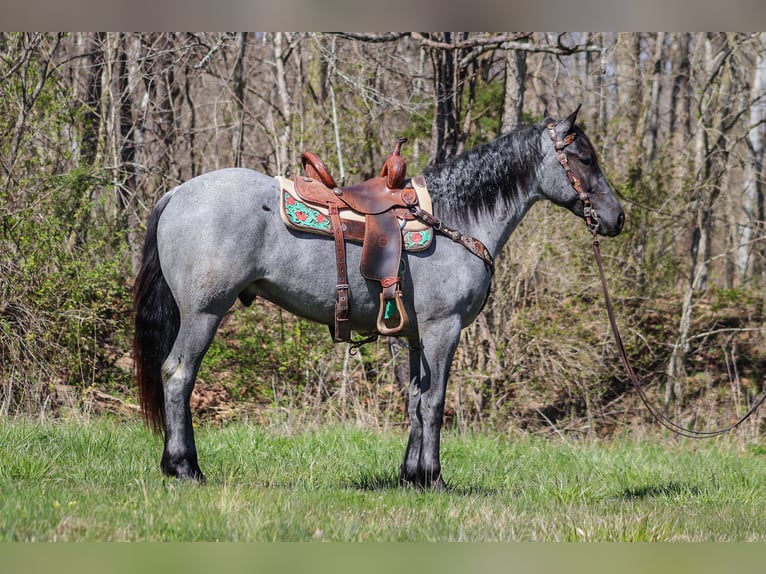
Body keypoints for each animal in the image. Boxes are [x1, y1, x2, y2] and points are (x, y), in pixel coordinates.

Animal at [132, 107, 624, 490]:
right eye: (584, 158)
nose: (617, 217)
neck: (455, 217)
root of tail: (178, 192)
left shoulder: (417, 336)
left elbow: (415, 401)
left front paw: (411, 475)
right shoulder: (442, 330)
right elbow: (435, 403)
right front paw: (434, 478)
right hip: (203, 312)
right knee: (178, 375)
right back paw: (184, 468)